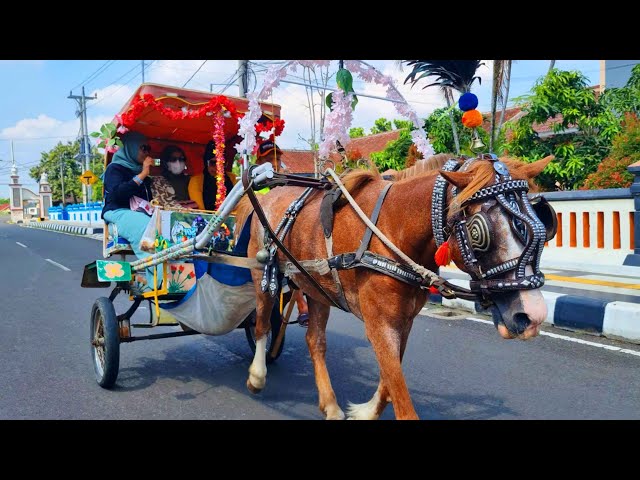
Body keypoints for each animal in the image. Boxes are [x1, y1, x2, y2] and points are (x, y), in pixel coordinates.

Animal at [236, 154, 556, 420]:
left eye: (543, 222)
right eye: (479, 231)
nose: (532, 315)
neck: (394, 227)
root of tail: (269, 196)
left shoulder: (405, 319)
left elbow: (390, 377)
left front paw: (366, 411)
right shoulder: (379, 322)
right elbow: (399, 393)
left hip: (316, 286)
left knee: (315, 340)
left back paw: (330, 404)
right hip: (261, 271)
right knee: (262, 323)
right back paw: (256, 376)